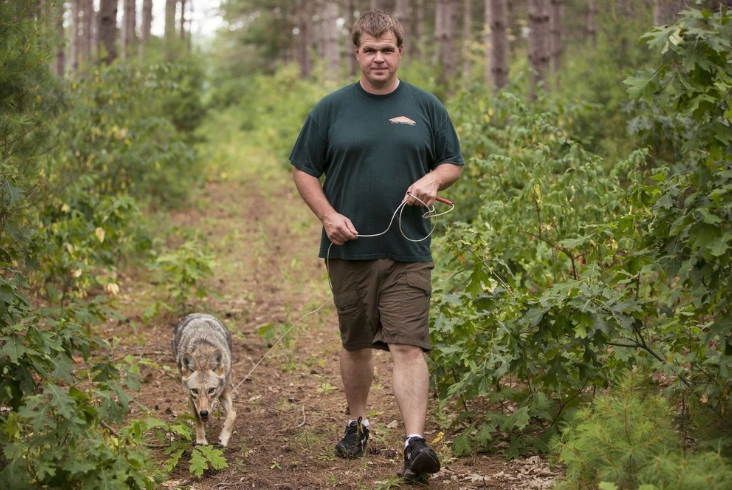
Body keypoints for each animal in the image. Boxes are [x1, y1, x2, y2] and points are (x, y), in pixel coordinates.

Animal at [172, 314, 236, 448]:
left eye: (211, 390)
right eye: (195, 391)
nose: (204, 413)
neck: (203, 355)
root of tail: (197, 314)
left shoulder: (223, 391)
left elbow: (233, 413)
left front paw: (223, 438)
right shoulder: (191, 397)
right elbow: (197, 419)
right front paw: (201, 441)